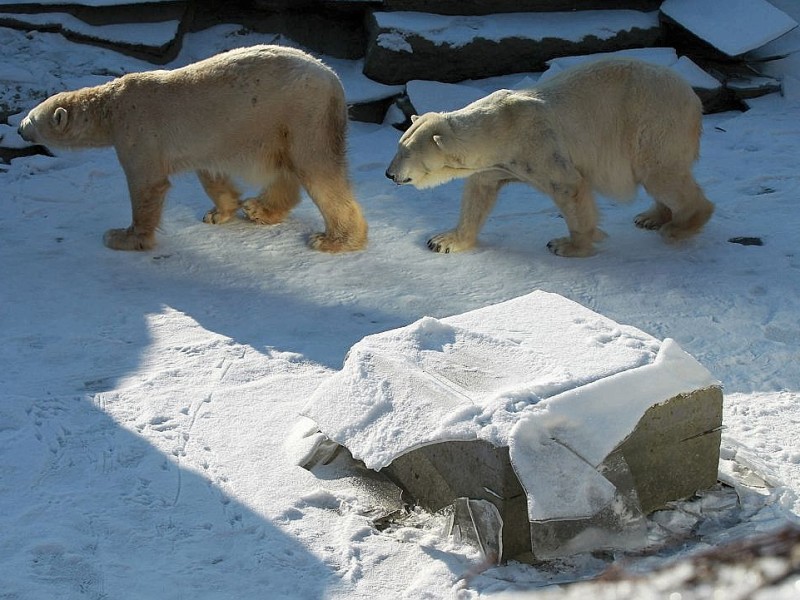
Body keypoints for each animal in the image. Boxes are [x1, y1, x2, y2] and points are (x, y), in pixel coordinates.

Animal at [18, 45, 368, 253]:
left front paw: (123, 237)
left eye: (31, 117)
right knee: (287, 169)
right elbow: (211, 174)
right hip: (279, 125)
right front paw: (218, 212)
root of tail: (334, 79)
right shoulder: (207, 142)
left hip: (302, 114)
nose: (19, 128)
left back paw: (333, 239)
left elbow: (146, 185)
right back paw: (259, 209)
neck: (110, 106)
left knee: (317, 170)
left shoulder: (138, 131)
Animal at [386, 58, 712, 258]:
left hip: (652, 121)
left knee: (661, 174)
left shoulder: (537, 144)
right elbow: (479, 192)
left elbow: (569, 186)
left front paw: (567, 245)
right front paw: (443, 241)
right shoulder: (497, 163)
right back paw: (651, 217)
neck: (500, 127)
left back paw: (679, 226)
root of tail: (692, 97)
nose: (389, 174)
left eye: (404, 152)